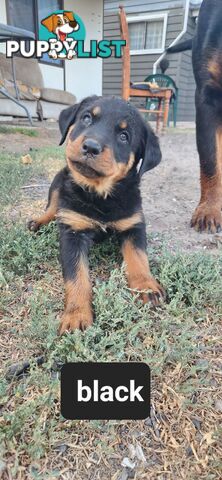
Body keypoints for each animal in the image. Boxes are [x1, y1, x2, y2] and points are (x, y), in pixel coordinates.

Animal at [28, 94, 165, 334]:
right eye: (86, 118)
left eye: (124, 136)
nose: (91, 147)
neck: (100, 195)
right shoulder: (72, 233)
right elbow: (77, 276)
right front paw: (76, 314)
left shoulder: (134, 224)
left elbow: (139, 258)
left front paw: (146, 287)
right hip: (58, 180)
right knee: (52, 207)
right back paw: (38, 221)